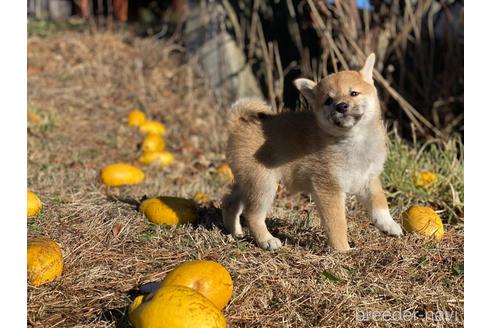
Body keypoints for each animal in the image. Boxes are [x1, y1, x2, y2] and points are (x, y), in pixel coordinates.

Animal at [221, 53, 402, 251]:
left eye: (354, 93)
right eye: (328, 101)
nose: (341, 106)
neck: (354, 140)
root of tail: (238, 124)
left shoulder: (368, 179)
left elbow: (379, 204)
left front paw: (388, 225)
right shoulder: (329, 188)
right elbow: (337, 224)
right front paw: (343, 251)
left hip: (249, 183)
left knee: (230, 202)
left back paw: (236, 232)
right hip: (263, 185)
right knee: (252, 215)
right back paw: (267, 240)